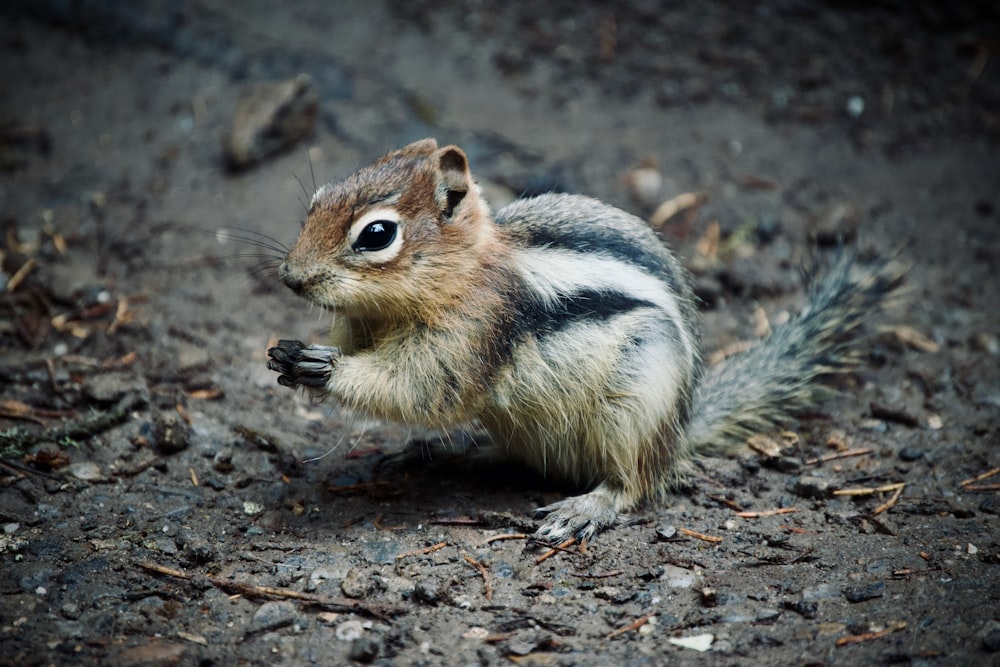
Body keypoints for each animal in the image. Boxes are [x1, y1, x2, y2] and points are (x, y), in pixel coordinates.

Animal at [262, 138, 904, 544]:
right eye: (315, 201)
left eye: (376, 234)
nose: (292, 277)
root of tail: (680, 428)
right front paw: (295, 354)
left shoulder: (472, 333)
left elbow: (423, 389)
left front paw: (325, 368)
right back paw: (451, 453)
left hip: (635, 405)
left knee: (634, 484)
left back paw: (586, 506)